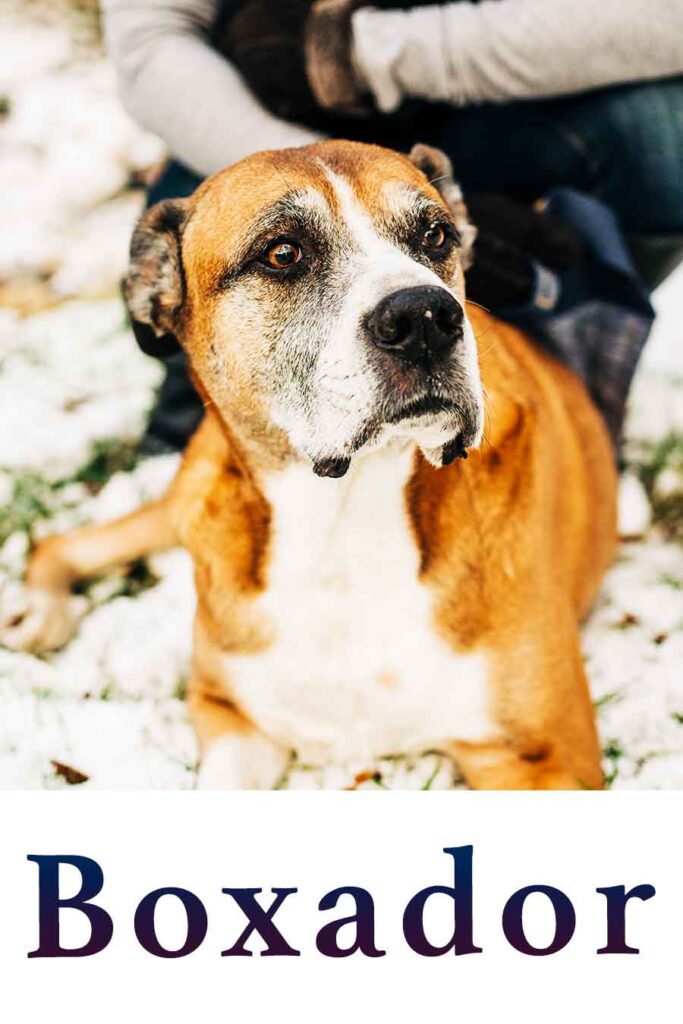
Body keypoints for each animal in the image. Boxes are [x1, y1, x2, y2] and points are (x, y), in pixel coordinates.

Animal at [1, 140, 618, 786]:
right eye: (282, 253)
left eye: (435, 236)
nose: (425, 316)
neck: (341, 528)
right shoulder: (229, 714)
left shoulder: (548, 757)